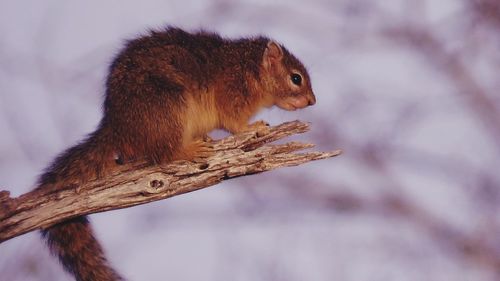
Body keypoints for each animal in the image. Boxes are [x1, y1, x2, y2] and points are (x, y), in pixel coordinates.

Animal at [37, 26, 314, 280]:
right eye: (296, 78)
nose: (313, 101)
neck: (250, 68)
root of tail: (117, 128)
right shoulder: (233, 93)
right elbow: (234, 123)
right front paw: (253, 127)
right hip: (169, 107)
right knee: (164, 154)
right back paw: (190, 149)